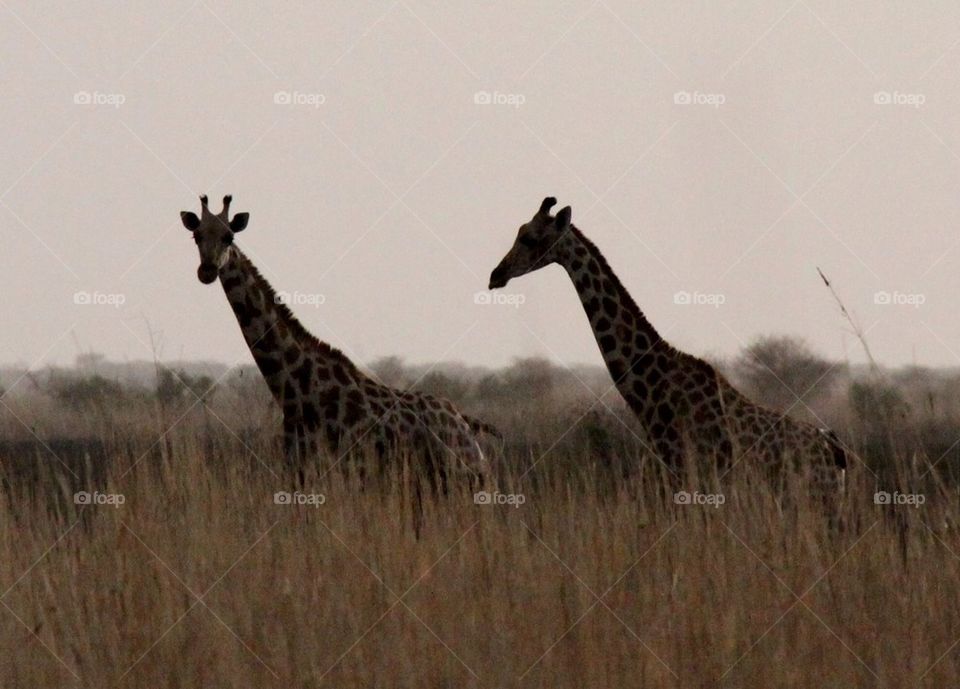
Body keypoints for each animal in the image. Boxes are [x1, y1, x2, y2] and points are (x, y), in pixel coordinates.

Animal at [178, 192, 502, 490]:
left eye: (229, 236)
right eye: (196, 236)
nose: (207, 270)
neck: (295, 391)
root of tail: (466, 422)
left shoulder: (337, 473)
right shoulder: (297, 468)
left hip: (466, 478)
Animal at [492, 198, 844, 490]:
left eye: (529, 238)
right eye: (519, 232)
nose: (496, 275)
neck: (652, 389)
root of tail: (834, 448)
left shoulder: (691, 474)